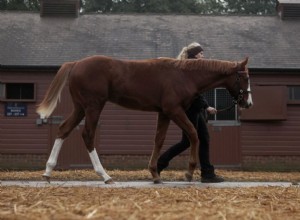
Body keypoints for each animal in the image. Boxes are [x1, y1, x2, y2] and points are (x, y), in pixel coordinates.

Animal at [37, 55, 253, 184]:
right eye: (245, 78)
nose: (248, 103)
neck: (183, 75)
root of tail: (75, 64)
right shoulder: (174, 110)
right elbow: (193, 133)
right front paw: (189, 172)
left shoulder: (164, 113)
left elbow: (159, 140)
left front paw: (155, 173)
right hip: (93, 106)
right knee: (88, 135)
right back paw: (105, 176)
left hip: (80, 108)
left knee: (63, 129)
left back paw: (48, 172)